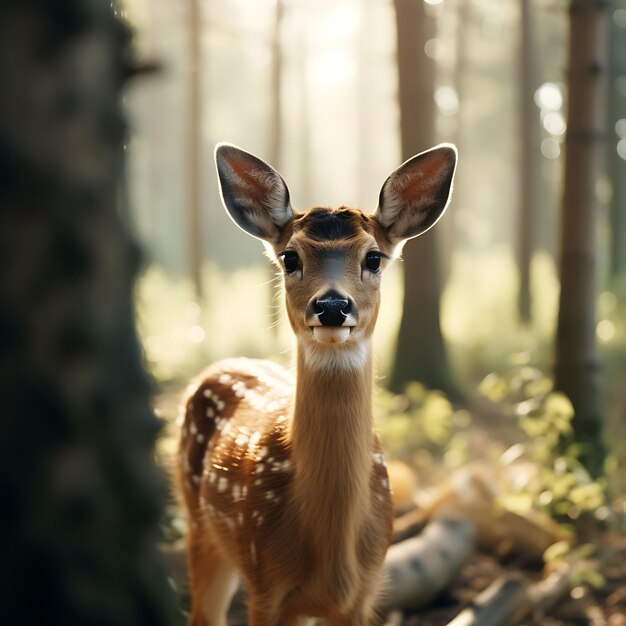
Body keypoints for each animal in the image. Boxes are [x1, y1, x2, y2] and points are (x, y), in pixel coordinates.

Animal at [173, 141, 456, 624]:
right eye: (290, 257)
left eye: (374, 258)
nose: (332, 306)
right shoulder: (264, 584)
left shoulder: (362, 594)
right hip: (201, 524)